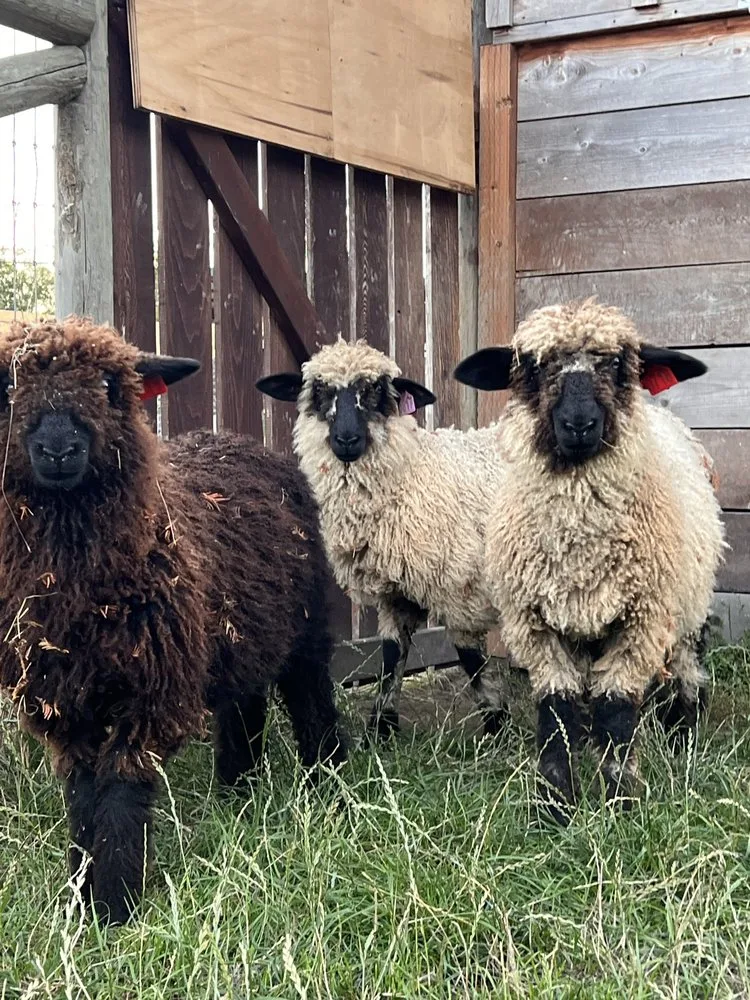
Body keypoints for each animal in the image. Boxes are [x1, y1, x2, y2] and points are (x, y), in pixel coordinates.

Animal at [0, 318, 346, 924]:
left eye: (112, 387)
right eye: (6, 386)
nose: (59, 449)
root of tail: (235, 437)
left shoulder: (149, 693)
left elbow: (120, 793)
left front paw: (115, 907)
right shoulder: (65, 703)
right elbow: (82, 796)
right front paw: (80, 898)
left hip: (306, 623)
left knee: (310, 697)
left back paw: (328, 785)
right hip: (234, 631)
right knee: (243, 702)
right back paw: (237, 791)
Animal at [257, 337, 509, 739]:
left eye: (375, 389)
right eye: (320, 390)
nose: (346, 439)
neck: (409, 476)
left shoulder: (461, 588)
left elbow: (470, 659)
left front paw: (497, 725)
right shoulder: (395, 591)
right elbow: (391, 655)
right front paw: (380, 729)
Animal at [453, 299, 724, 822]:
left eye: (618, 364)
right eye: (533, 366)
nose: (579, 425)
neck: (579, 551)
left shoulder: (640, 621)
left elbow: (616, 710)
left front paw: (619, 805)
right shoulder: (535, 624)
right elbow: (555, 710)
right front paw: (555, 806)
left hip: (688, 602)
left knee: (687, 669)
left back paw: (682, 736)